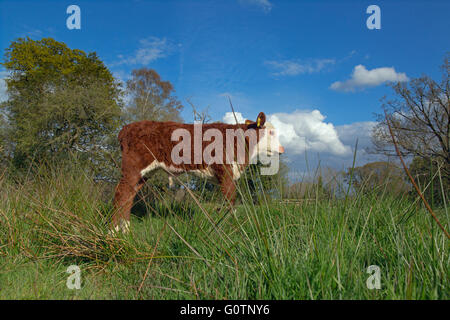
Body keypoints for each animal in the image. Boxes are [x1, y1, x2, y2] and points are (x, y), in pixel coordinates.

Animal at [110, 111, 284, 231]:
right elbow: (230, 199)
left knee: (129, 196)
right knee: (121, 194)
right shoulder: (225, 171)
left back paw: (126, 229)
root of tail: (126, 128)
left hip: (144, 173)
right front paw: (233, 226)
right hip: (133, 168)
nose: (282, 149)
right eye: (271, 132)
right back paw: (114, 231)